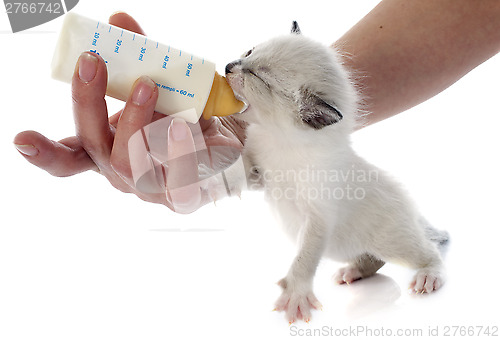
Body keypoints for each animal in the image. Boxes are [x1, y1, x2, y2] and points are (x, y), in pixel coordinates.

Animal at [225, 21, 448, 324]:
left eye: (258, 77)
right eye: (249, 52)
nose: (228, 66)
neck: (282, 140)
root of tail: (413, 213)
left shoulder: (319, 219)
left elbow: (304, 259)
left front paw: (296, 294)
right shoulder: (258, 173)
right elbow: (241, 165)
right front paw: (220, 176)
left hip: (394, 241)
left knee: (429, 252)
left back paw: (429, 276)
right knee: (374, 259)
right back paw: (352, 272)